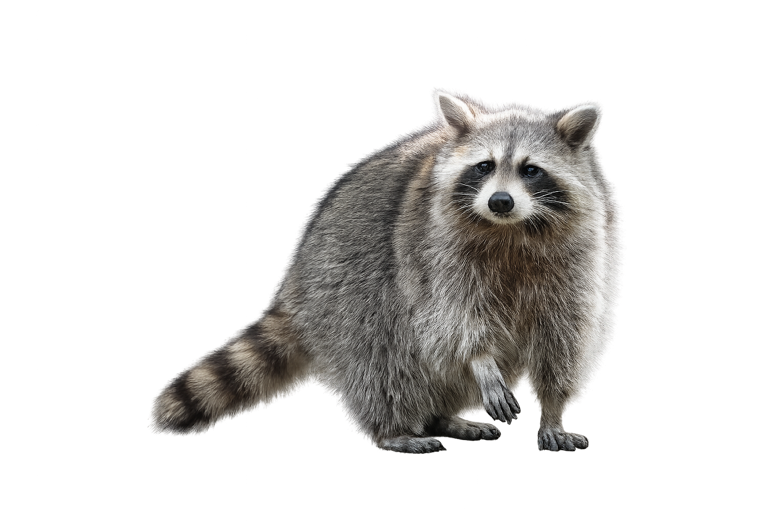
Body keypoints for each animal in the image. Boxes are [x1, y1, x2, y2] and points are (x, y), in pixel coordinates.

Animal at [149, 87, 625, 453]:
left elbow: (561, 336)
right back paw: (396, 428)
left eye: (531, 170)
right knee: (384, 361)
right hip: (349, 285)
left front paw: (553, 412)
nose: (500, 201)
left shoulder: (575, 258)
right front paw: (481, 359)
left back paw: (442, 417)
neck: (509, 229)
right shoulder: (434, 249)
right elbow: (453, 317)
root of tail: (296, 281)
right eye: (484, 166)